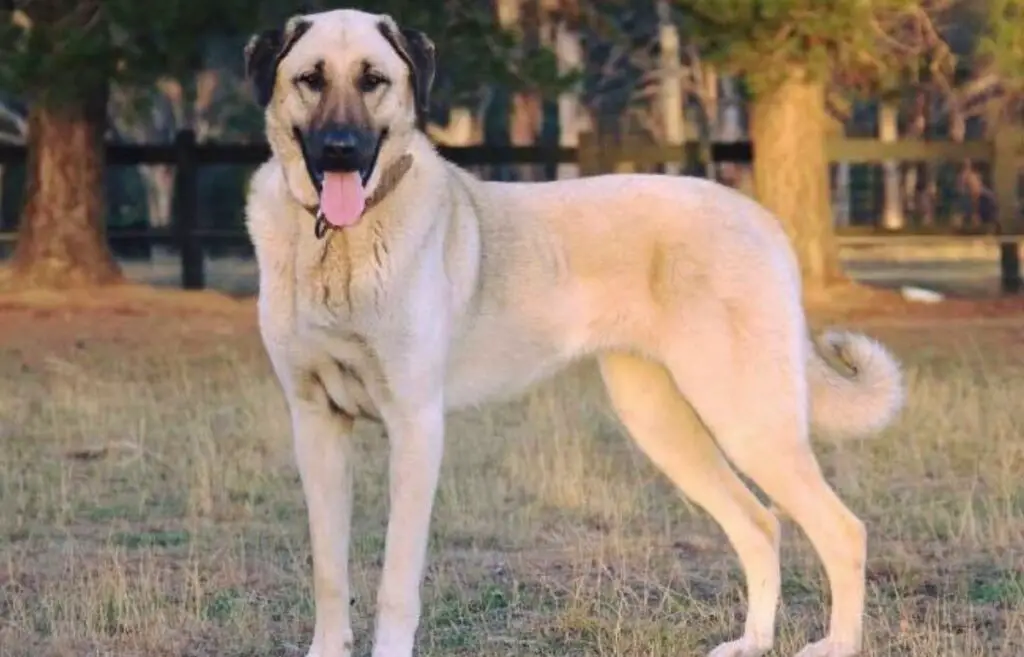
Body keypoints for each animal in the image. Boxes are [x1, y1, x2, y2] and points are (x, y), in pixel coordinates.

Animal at [241, 8, 905, 654]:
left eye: (373, 79)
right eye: (311, 79)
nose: (340, 150)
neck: (336, 245)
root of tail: (761, 217)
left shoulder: (415, 426)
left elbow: (395, 585)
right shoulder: (317, 423)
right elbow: (330, 573)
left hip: (746, 418)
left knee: (842, 530)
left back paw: (834, 642)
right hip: (663, 423)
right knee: (760, 523)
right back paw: (752, 641)